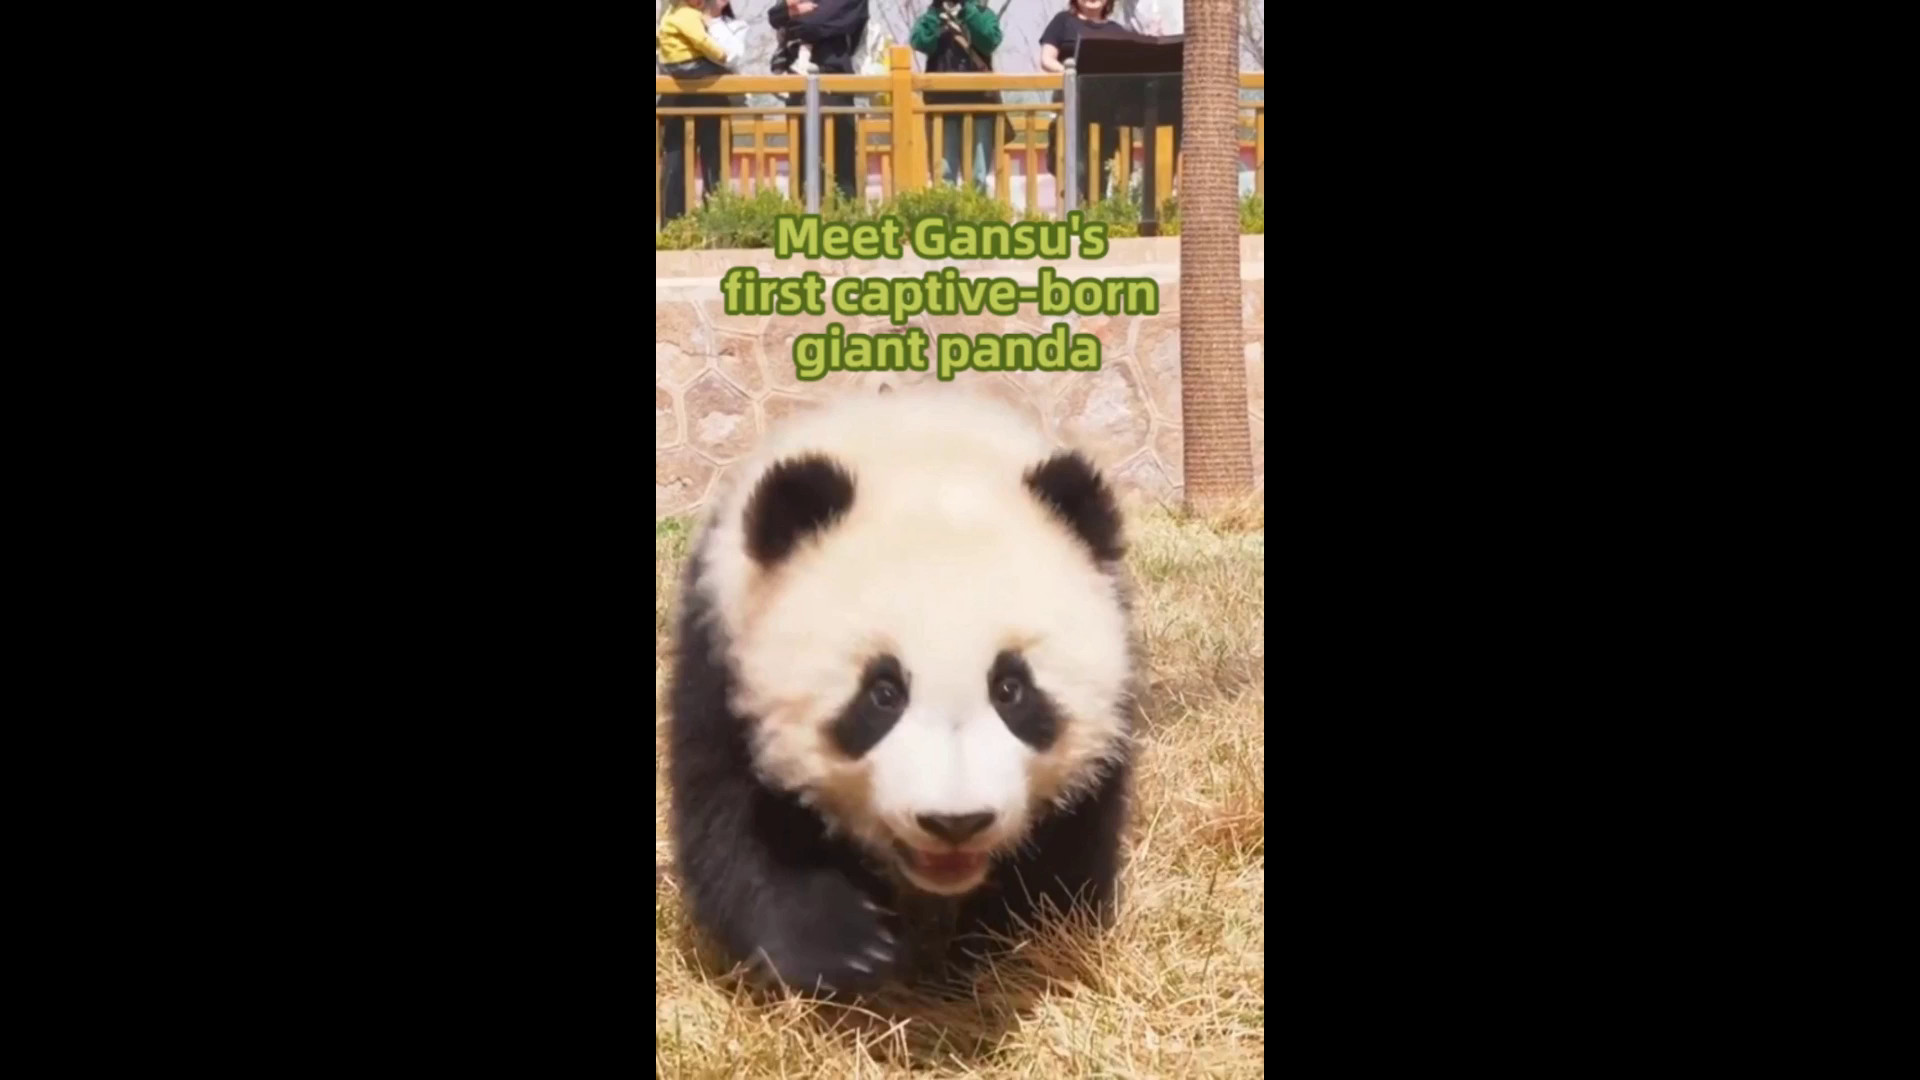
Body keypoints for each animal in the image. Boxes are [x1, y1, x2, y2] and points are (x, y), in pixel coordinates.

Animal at [667, 388, 1137, 996]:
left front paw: (1009, 943)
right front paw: (847, 950)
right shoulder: (719, 658)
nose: (956, 822)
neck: (920, 454)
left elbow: (1072, 833)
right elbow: (738, 822)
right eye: (882, 693)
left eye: (1011, 688)